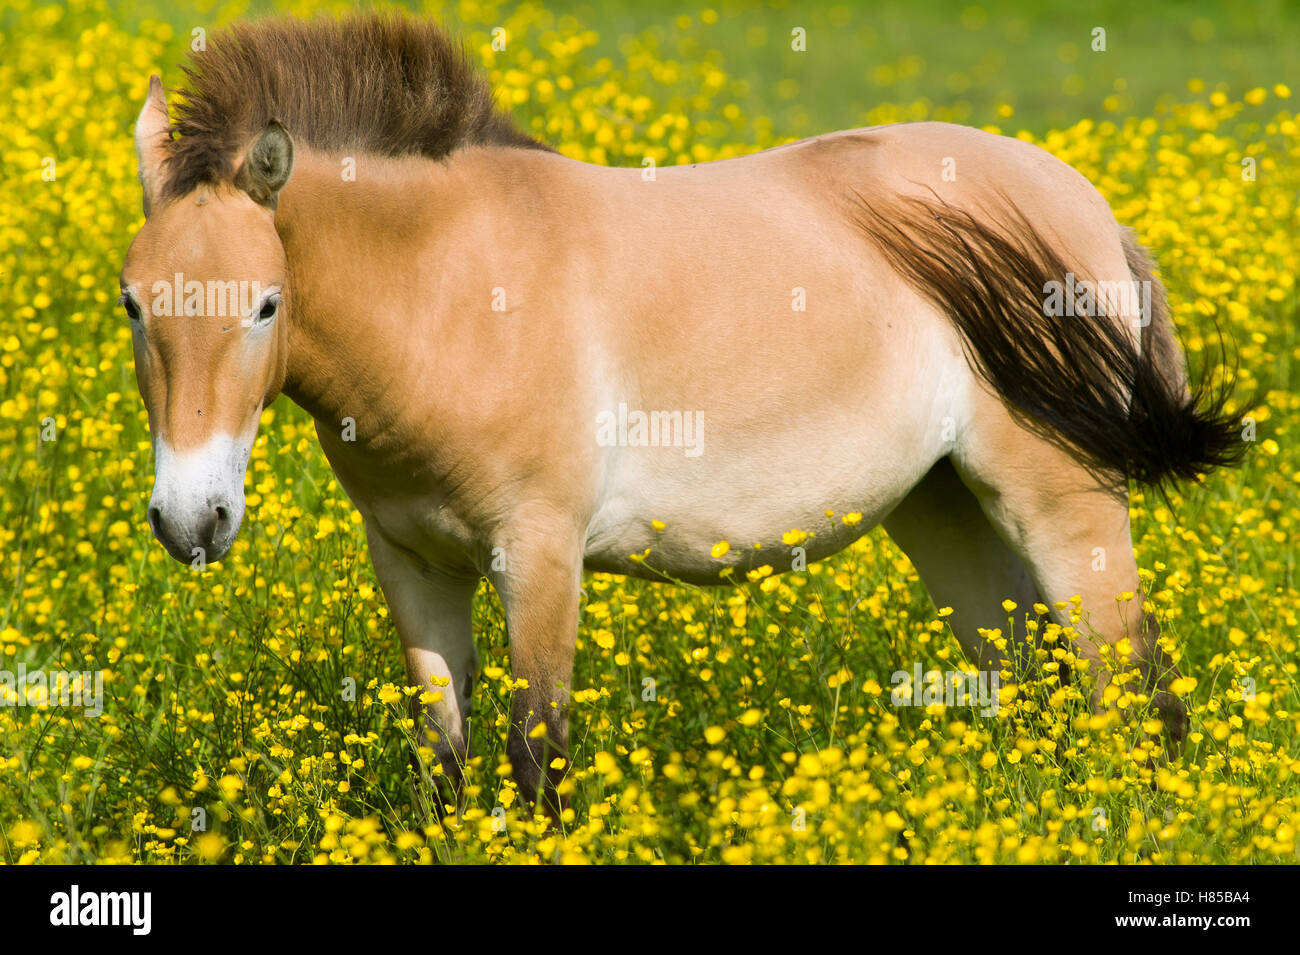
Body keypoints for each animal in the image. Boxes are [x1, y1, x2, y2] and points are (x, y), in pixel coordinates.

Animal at [120, 13, 1242, 815]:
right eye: (132, 302)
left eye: (267, 304)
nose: (190, 519)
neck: (455, 289)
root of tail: (1085, 204)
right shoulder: (413, 563)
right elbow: (442, 762)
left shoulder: (538, 557)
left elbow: (537, 759)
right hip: (950, 512)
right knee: (1040, 690)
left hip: (1060, 508)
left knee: (1140, 697)